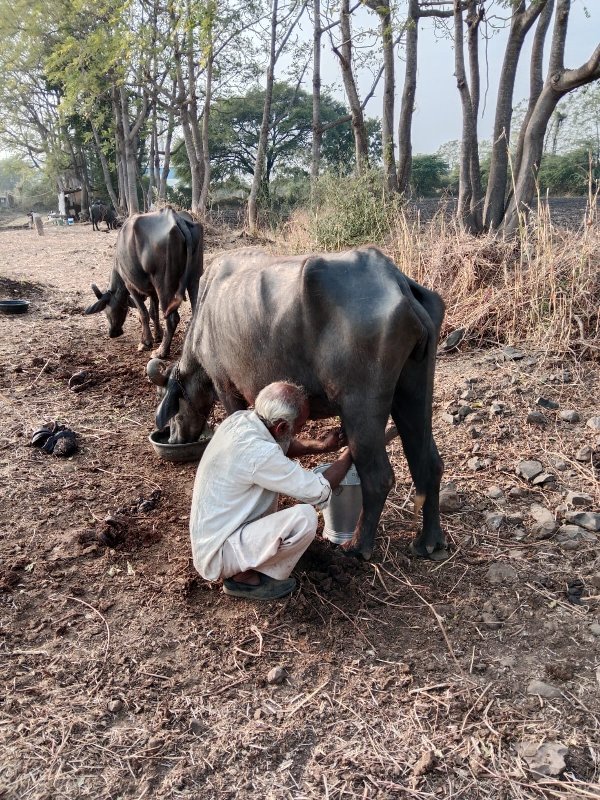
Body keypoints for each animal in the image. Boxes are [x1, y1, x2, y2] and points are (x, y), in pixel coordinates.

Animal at [84, 208, 204, 358]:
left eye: (106, 310)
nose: (112, 333)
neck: (118, 263)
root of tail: (176, 218)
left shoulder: (131, 286)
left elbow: (143, 314)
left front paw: (146, 342)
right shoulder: (153, 291)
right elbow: (153, 312)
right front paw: (157, 335)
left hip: (164, 286)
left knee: (172, 318)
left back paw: (161, 351)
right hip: (195, 278)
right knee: (196, 311)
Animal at [148, 247, 446, 560]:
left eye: (172, 407)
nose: (174, 437)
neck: (204, 319)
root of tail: (397, 282)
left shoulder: (226, 387)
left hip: (361, 406)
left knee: (378, 477)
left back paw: (358, 546)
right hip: (413, 389)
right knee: (430, 464)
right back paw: (428, 541)